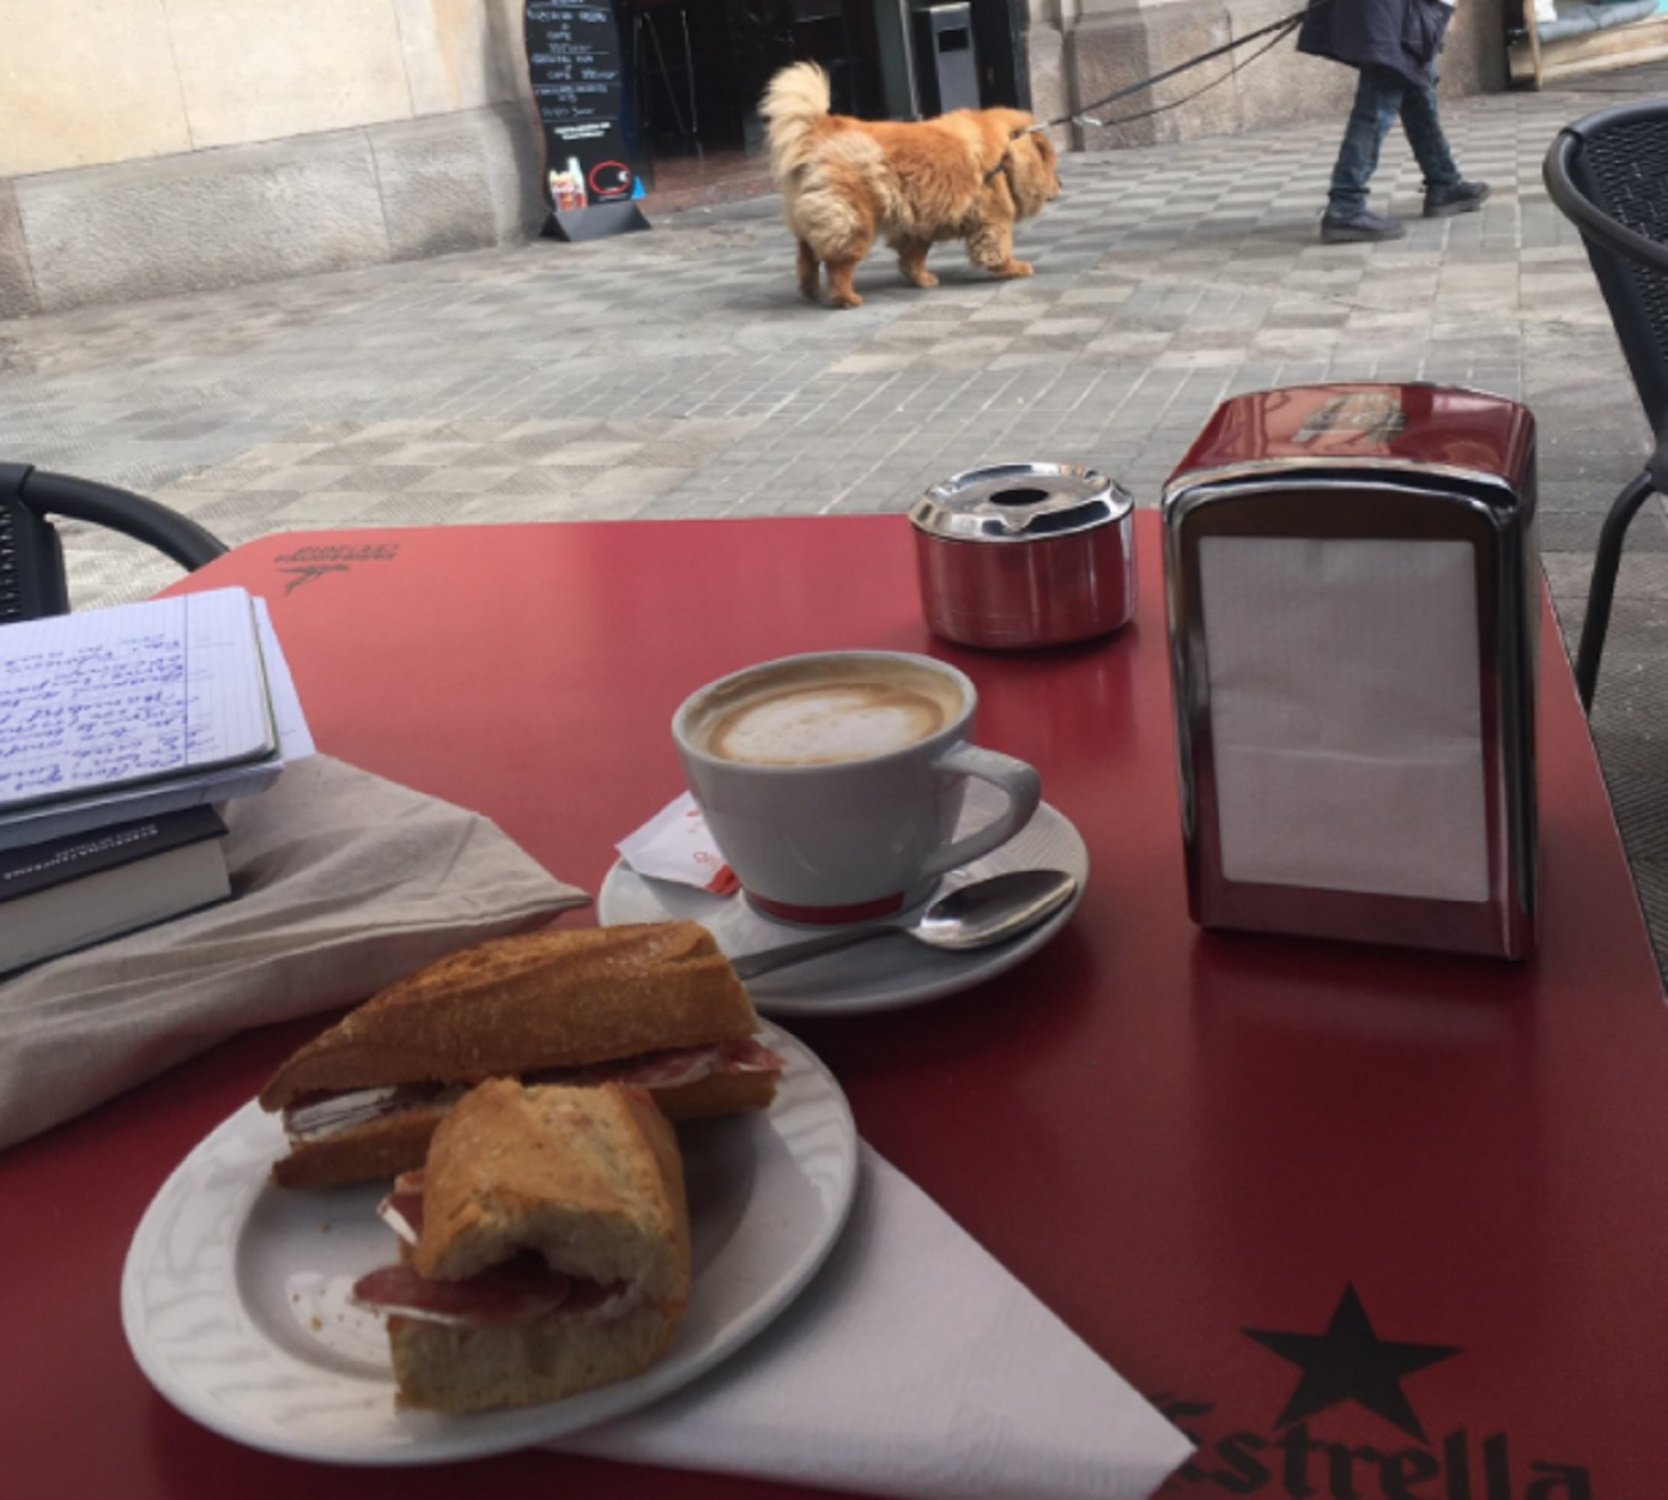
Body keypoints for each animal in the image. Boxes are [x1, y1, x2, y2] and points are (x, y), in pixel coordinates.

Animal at [763, 63, 1060, 308]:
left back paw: (810, 289)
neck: (1007, 152)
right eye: (1053, 166)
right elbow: (998, 248)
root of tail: (822, 127)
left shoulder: (918, 221)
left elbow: (914, 256)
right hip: (855, 218)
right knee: (838, 264)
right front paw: (1013, 268)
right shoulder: (993, 217)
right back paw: (846, 298)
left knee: (806, 253)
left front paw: (922, 279)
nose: (1061, 184)